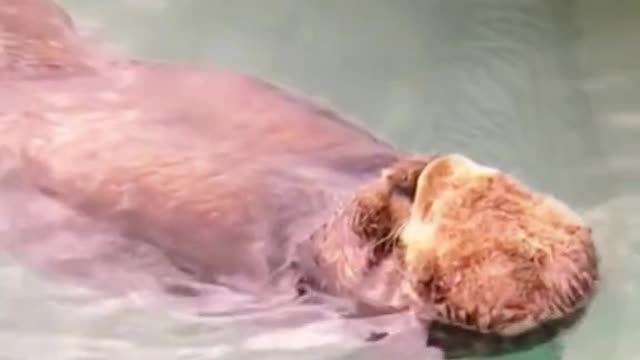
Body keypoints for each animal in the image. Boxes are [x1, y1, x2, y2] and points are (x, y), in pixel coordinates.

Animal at [1, 1, 600, 358]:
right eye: (483, 177)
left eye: (436, 208)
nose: (441, 166)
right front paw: (403, 169)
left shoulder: (350, 279)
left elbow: (349, 242)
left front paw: (389, 192)